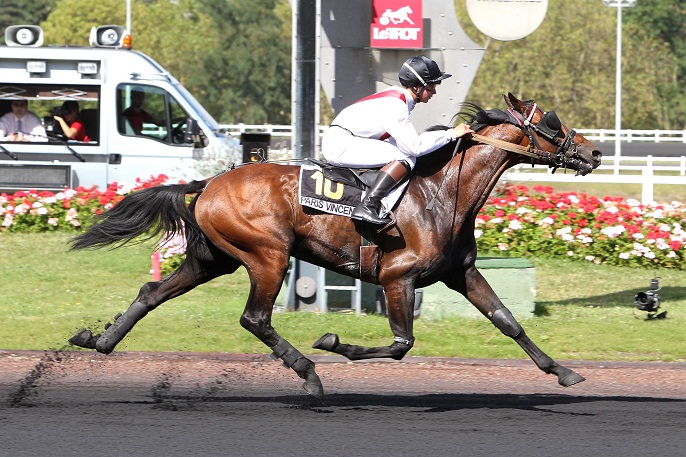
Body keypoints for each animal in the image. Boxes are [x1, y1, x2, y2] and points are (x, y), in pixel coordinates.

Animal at [71, 91, 600, 396]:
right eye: (552, 121)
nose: (594, 152)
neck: (442, 192)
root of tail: (208, 184)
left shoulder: (460, 272)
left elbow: (507, 320)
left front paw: (563, 372)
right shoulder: (397, 276)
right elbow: (401, 345)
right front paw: (334, 343)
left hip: (213, 259)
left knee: (151, 293)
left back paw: (100, 340)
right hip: (267, 255)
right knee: (254, 318)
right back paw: (308, 372)